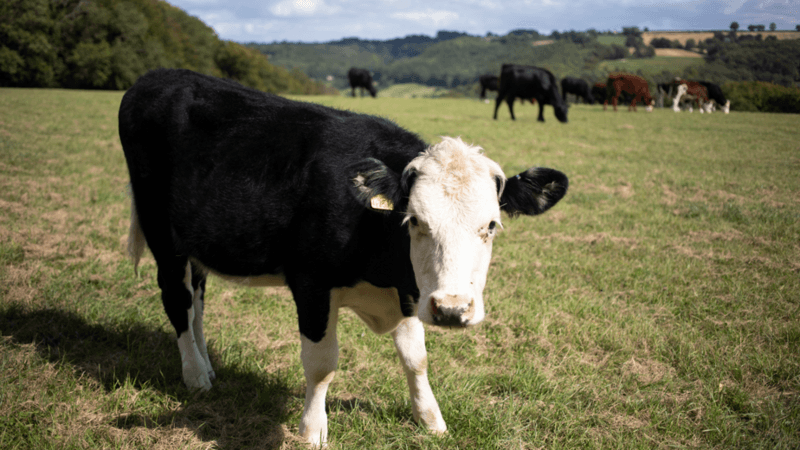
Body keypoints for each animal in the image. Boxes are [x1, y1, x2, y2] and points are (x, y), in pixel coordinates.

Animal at [119, 69, 568, 447]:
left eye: (491, 225)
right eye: (415, 220)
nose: (452, 309)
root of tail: (157, 76)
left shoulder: (409, 291)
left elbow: (416, 359)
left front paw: (430, 418)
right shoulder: (311, 284)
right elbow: (322, 364)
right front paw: (312, 429)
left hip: (195, 245)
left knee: (196, 301)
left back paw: (206, 364)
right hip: (162, 234)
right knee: (177, 300)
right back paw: (195, 376)